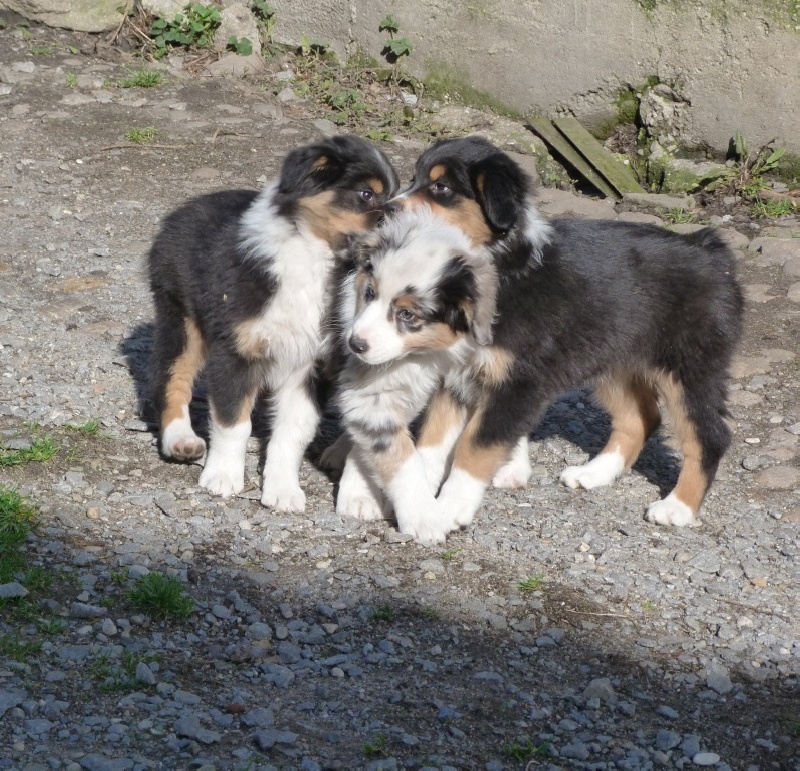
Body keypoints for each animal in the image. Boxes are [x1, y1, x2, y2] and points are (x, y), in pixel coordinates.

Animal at [147, 135, 396, 512]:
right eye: (366, 194)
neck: (314, 263)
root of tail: (184, 208)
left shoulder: (311, 366)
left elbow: (292, 433)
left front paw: (283, 491)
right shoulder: (237, 352)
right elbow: (233, 421)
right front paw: (222, 477)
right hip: (181, 318)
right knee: (173, 378)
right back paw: (181, 439)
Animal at [338, 205, 500, 544]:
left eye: (407, 314)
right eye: (369, 293)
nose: (355, 344)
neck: (420, 354)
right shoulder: (372, 394)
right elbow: (400, 458)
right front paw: (423, 517)